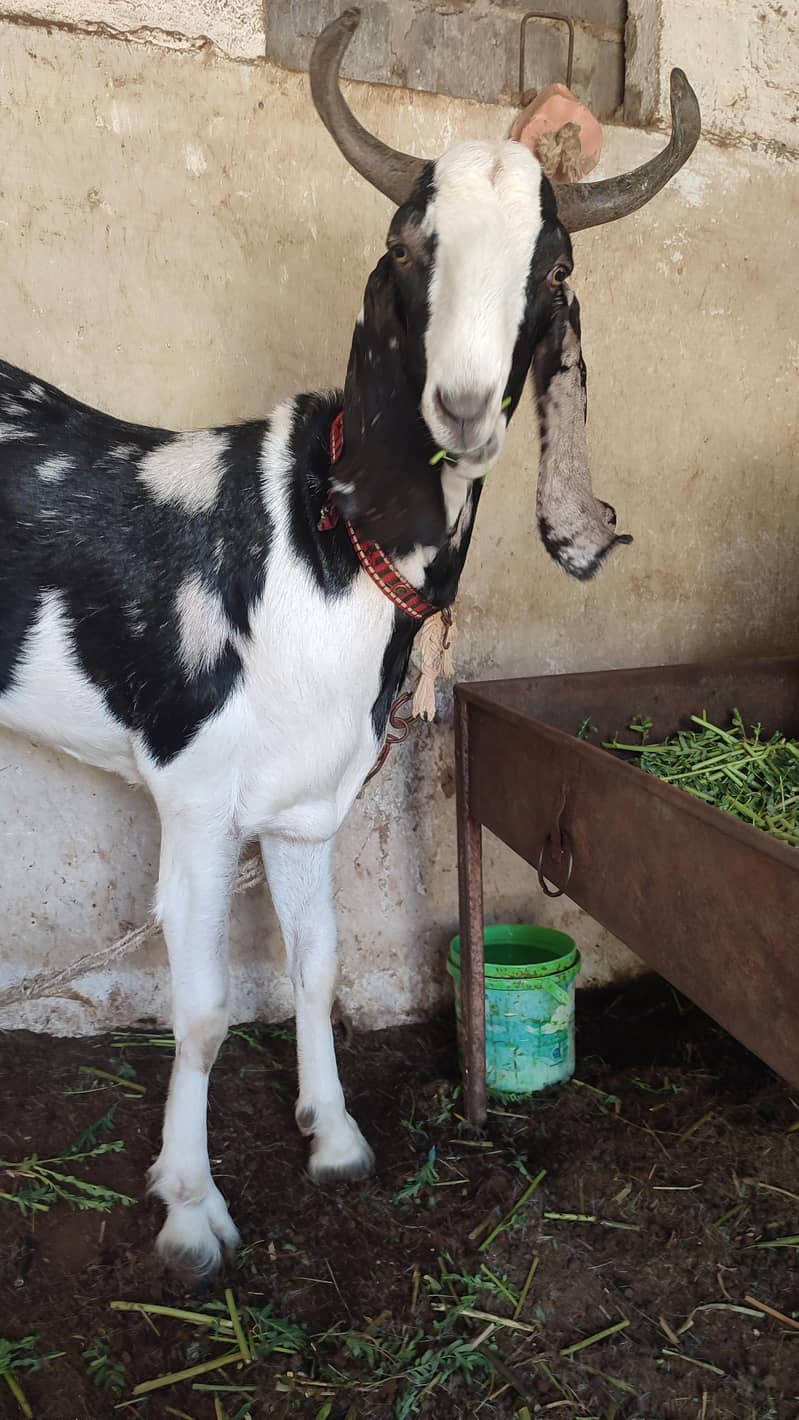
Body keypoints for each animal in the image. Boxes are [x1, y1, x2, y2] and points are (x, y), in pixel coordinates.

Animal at [0, 9, 700, 1274]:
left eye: (555, 267)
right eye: (407, 247)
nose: (461, 404)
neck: (312, 545)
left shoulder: (308, 803)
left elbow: (316, 966)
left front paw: (334, 1141)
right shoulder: (192, 794)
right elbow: (204, 1007)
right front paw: (190, 1211)